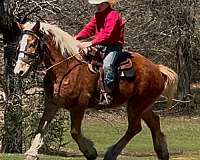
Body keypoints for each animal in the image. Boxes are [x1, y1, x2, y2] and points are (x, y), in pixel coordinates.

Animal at [13, 21, 177, 160]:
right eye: (19, 44)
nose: (18, 71)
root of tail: (157, 69)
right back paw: (162, 152)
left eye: (33, 43)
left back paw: (112, 153)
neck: (66, 67)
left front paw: (90, 151)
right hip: (142, 105)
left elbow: (75, 132)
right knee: (154, 121)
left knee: (134, 128)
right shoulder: (52, 104)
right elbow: (42, 126)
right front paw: (31, 153)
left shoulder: (78, 107)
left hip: (136, 105)